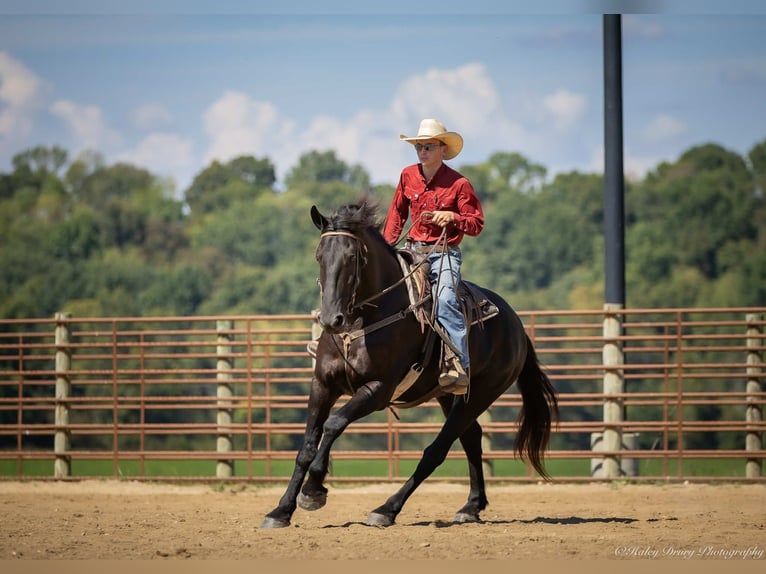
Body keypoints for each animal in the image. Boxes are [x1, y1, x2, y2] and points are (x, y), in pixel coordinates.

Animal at [260, 197, 558, 528]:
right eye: (319, 256)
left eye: (352, 256)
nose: (330, 319)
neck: (362, 321)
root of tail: (516, 326)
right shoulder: (322, 385)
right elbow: (306, 447)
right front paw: (280, 510)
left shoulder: (378, 390)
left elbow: (334, 424)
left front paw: (313, 491)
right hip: (449, 395)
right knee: (471, 437)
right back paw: (471, 506)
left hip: (482, 393)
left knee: (437, 450)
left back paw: (386, 509)